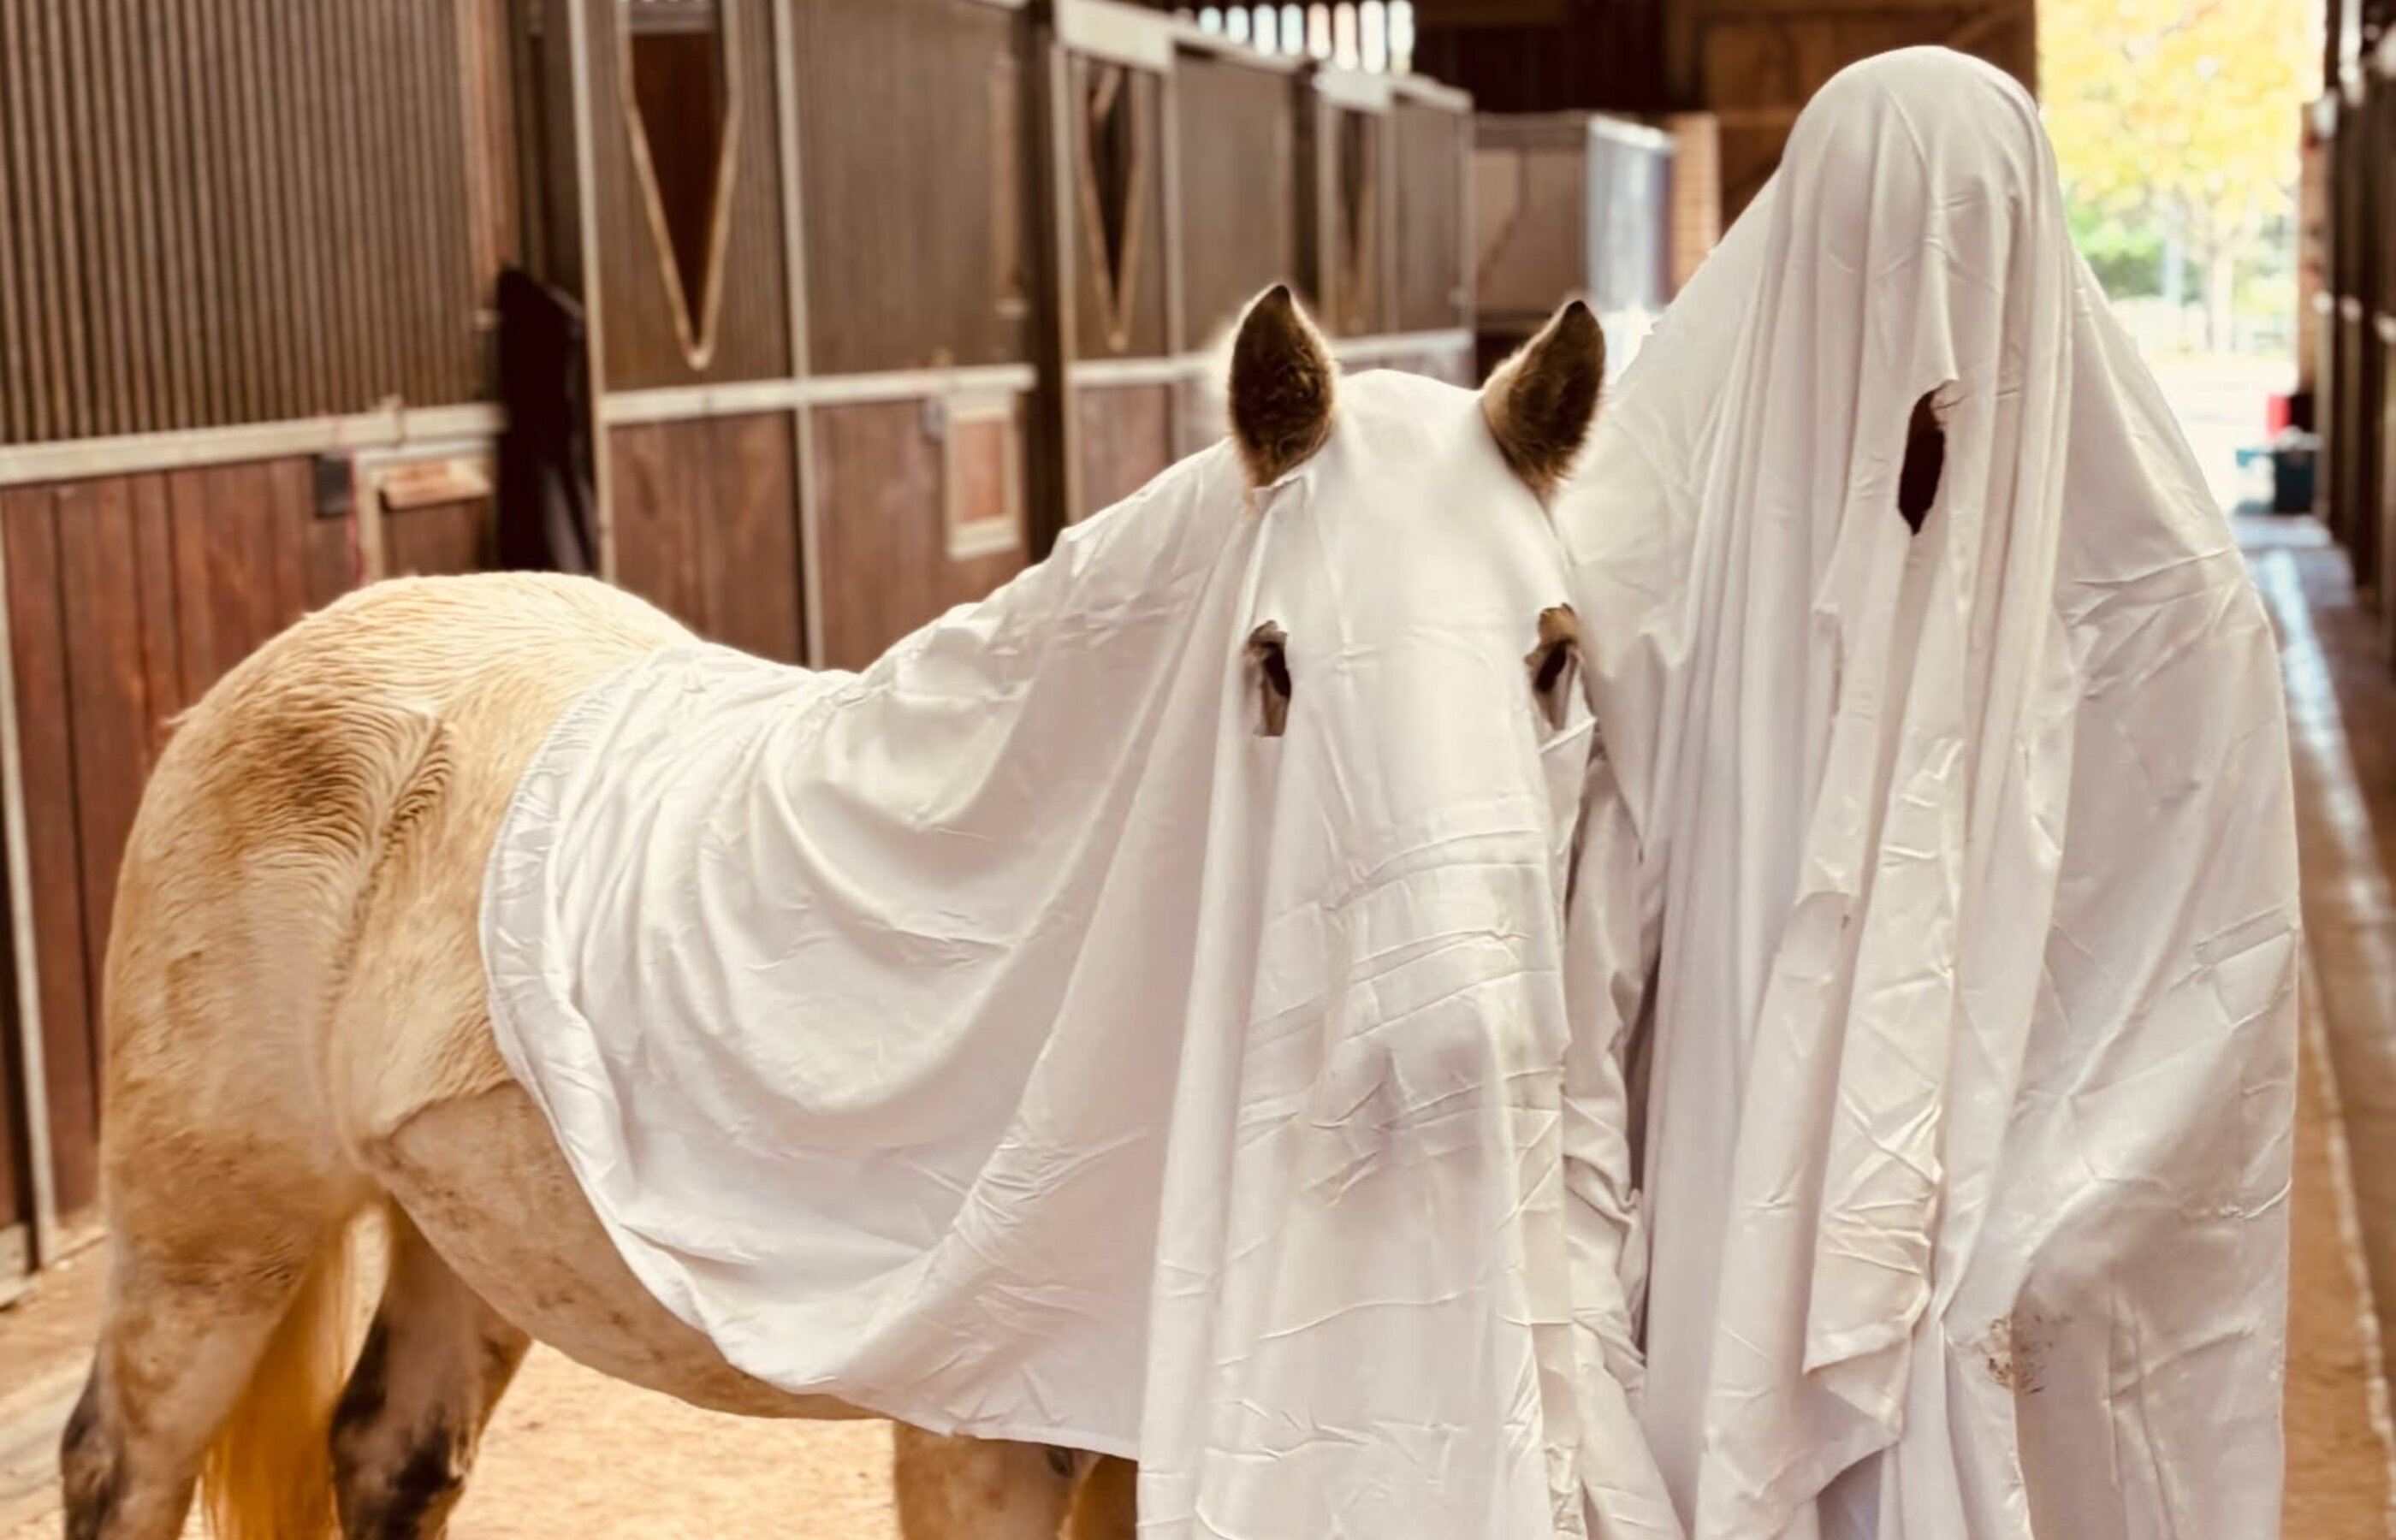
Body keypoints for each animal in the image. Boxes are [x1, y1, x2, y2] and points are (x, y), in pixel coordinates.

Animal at [59, 286, 1606, 1540]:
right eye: (1272, 660)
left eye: (1553, 657)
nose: (1455, 1048)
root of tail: (284, 662)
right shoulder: (984, 1442)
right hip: (213, 1249)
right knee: (120, 1468)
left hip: (456, 1237)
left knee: (389, 1458)